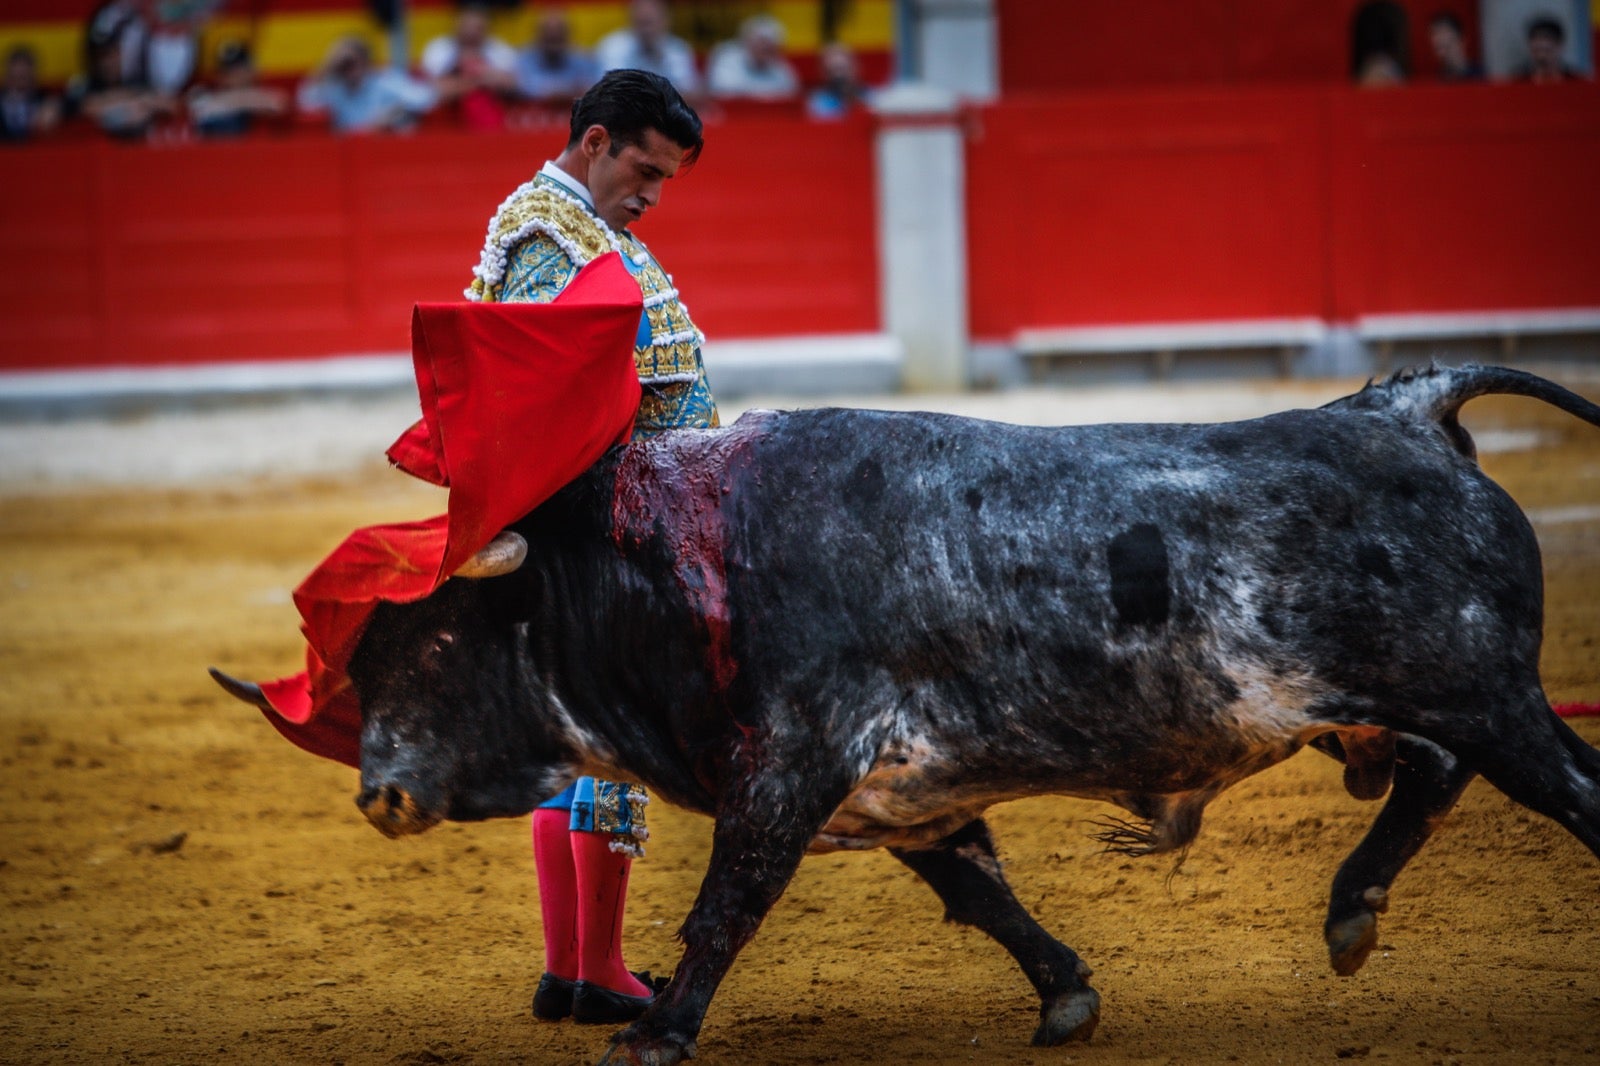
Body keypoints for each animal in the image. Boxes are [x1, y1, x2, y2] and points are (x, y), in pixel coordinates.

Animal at [212, 364, 1600, 1062]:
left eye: (441, 638)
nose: (380, 792)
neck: (667, 559)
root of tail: (1398, 404)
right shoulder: (902, 789)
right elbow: (979, 890)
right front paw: (1065, 997)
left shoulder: (787, 769)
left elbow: (726, 905)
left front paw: (653, 1032)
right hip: (1410, 705)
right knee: (1428, 775)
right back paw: (1350, 910)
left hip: (1490, 695)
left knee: (1568, 790)